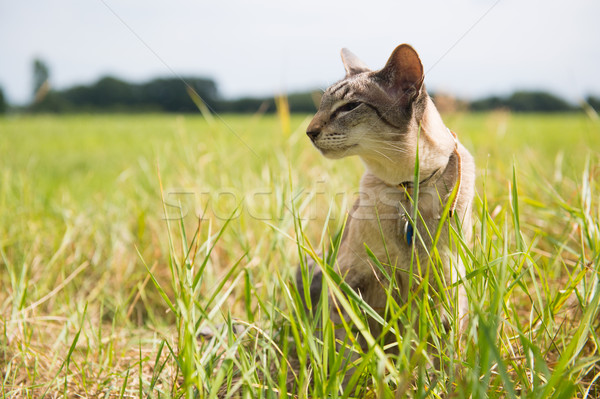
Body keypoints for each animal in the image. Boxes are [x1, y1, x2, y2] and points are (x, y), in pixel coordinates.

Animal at [298, 44, 476, 360]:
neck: (409, 187)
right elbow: (348, 351)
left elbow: (444, 354)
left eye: (349, 107)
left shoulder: (445, 281)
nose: (309, 132)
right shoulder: (349, 279)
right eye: (321, 105)